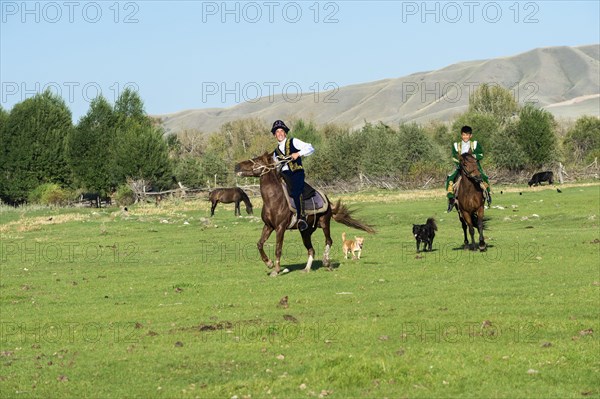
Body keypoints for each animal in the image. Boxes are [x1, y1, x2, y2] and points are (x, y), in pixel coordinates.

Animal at [234, 152, 376, 276]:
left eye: (257, 160)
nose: (237, 166)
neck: (274, 199)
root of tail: (327, 200)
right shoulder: (268, 226)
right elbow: (259, 244)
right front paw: (269, 263)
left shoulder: (280, 228)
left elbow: (278, 248)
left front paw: (276, 270)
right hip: (306, 231)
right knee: (311, 249)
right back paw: (306, 269)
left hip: (324, 223)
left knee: (328, 240)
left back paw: (326, 261)